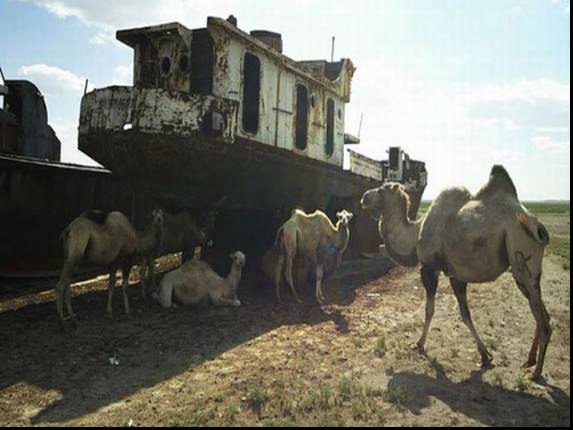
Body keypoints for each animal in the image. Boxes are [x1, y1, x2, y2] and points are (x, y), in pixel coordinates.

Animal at [360, 166, 552, 382]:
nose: (364, 197)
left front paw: (419, 344)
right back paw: (529, 360)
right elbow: (465, 314)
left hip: (521, 256)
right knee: (541, 313)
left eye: (382, 188)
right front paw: (485, 355)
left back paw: (535, 373)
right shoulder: (456, 276)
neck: (415, 233)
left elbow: (429, 310)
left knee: (543, 321)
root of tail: (536, 225)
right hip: (528, 271)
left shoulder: (429, 268)